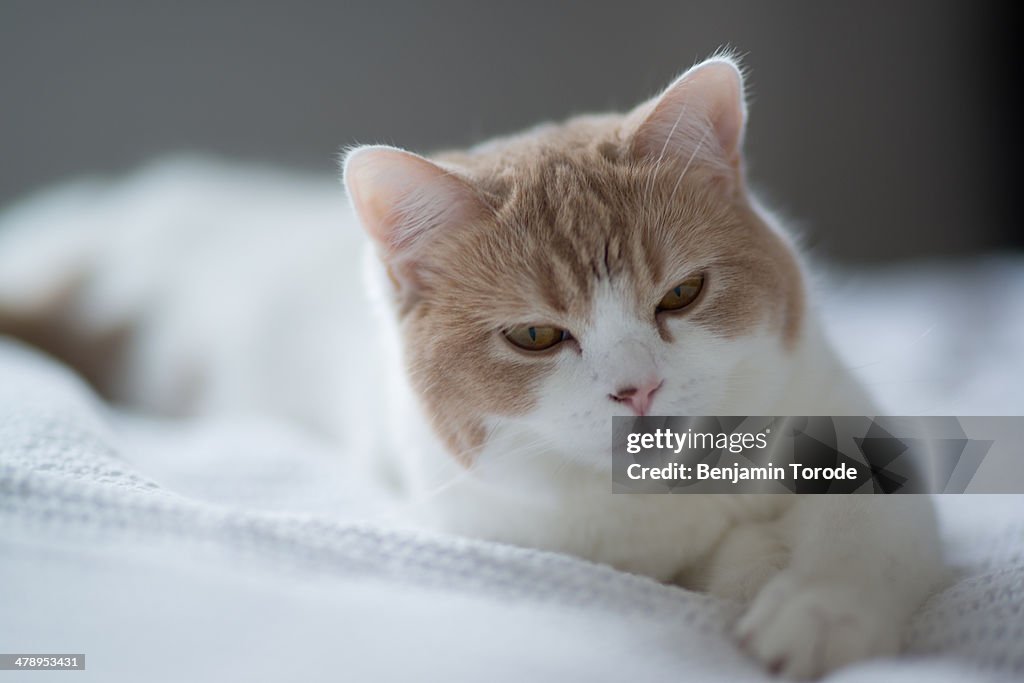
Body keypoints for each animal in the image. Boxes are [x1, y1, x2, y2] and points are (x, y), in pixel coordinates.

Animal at [0, 54, 942, 679]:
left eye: (682, 293)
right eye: (534, 336)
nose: (638, 386)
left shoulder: (846, 418)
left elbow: (867, 517)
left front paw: (822, 604)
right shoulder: (515, 528)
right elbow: (689, 558)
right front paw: (756, 564)